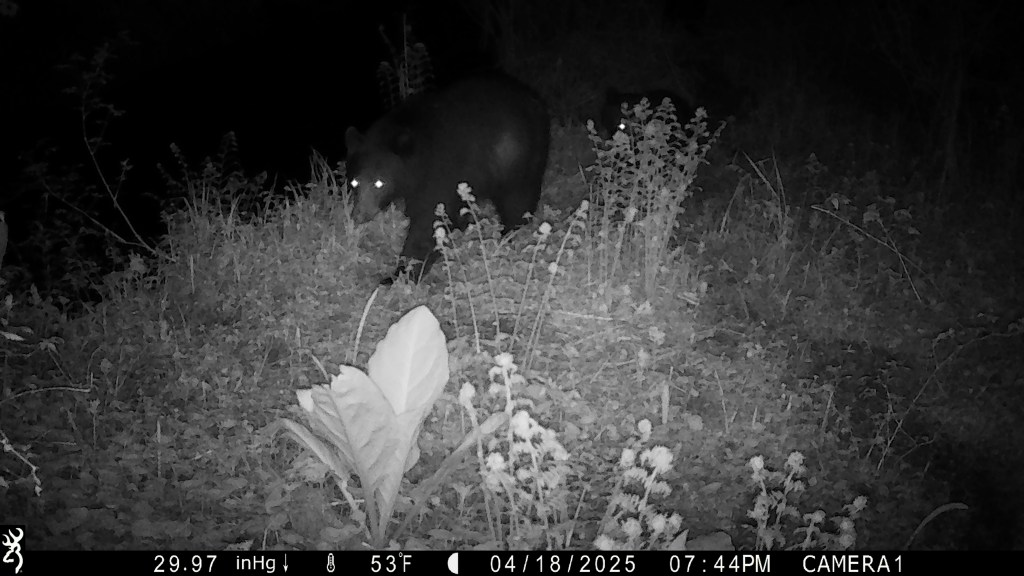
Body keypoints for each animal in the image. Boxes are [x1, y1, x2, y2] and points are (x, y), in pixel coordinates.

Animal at [345, 74, 550, 284]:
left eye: (379, 183)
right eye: (354, 182)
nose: (359, 216)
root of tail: (535, 101)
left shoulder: (440, 171)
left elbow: (428, 222)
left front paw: (400, 274)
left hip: (517, 158)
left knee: (517, 200)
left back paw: (507, 234)